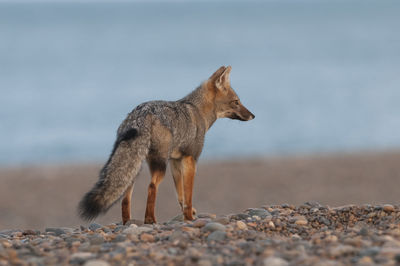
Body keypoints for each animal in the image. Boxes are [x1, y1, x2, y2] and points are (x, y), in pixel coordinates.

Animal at [78, 65, 255, 223]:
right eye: (236, 102)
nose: (253, 115)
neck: (198, 110)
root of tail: (139, 115)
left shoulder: (175, 161)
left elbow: (180, 195)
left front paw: (187, 213)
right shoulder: (190, 159)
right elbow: (188, 194)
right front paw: (189, 217)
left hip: (136, 168)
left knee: (125, 197)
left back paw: (128, 221)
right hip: (158, 166)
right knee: (151, 187)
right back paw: (150, 219)